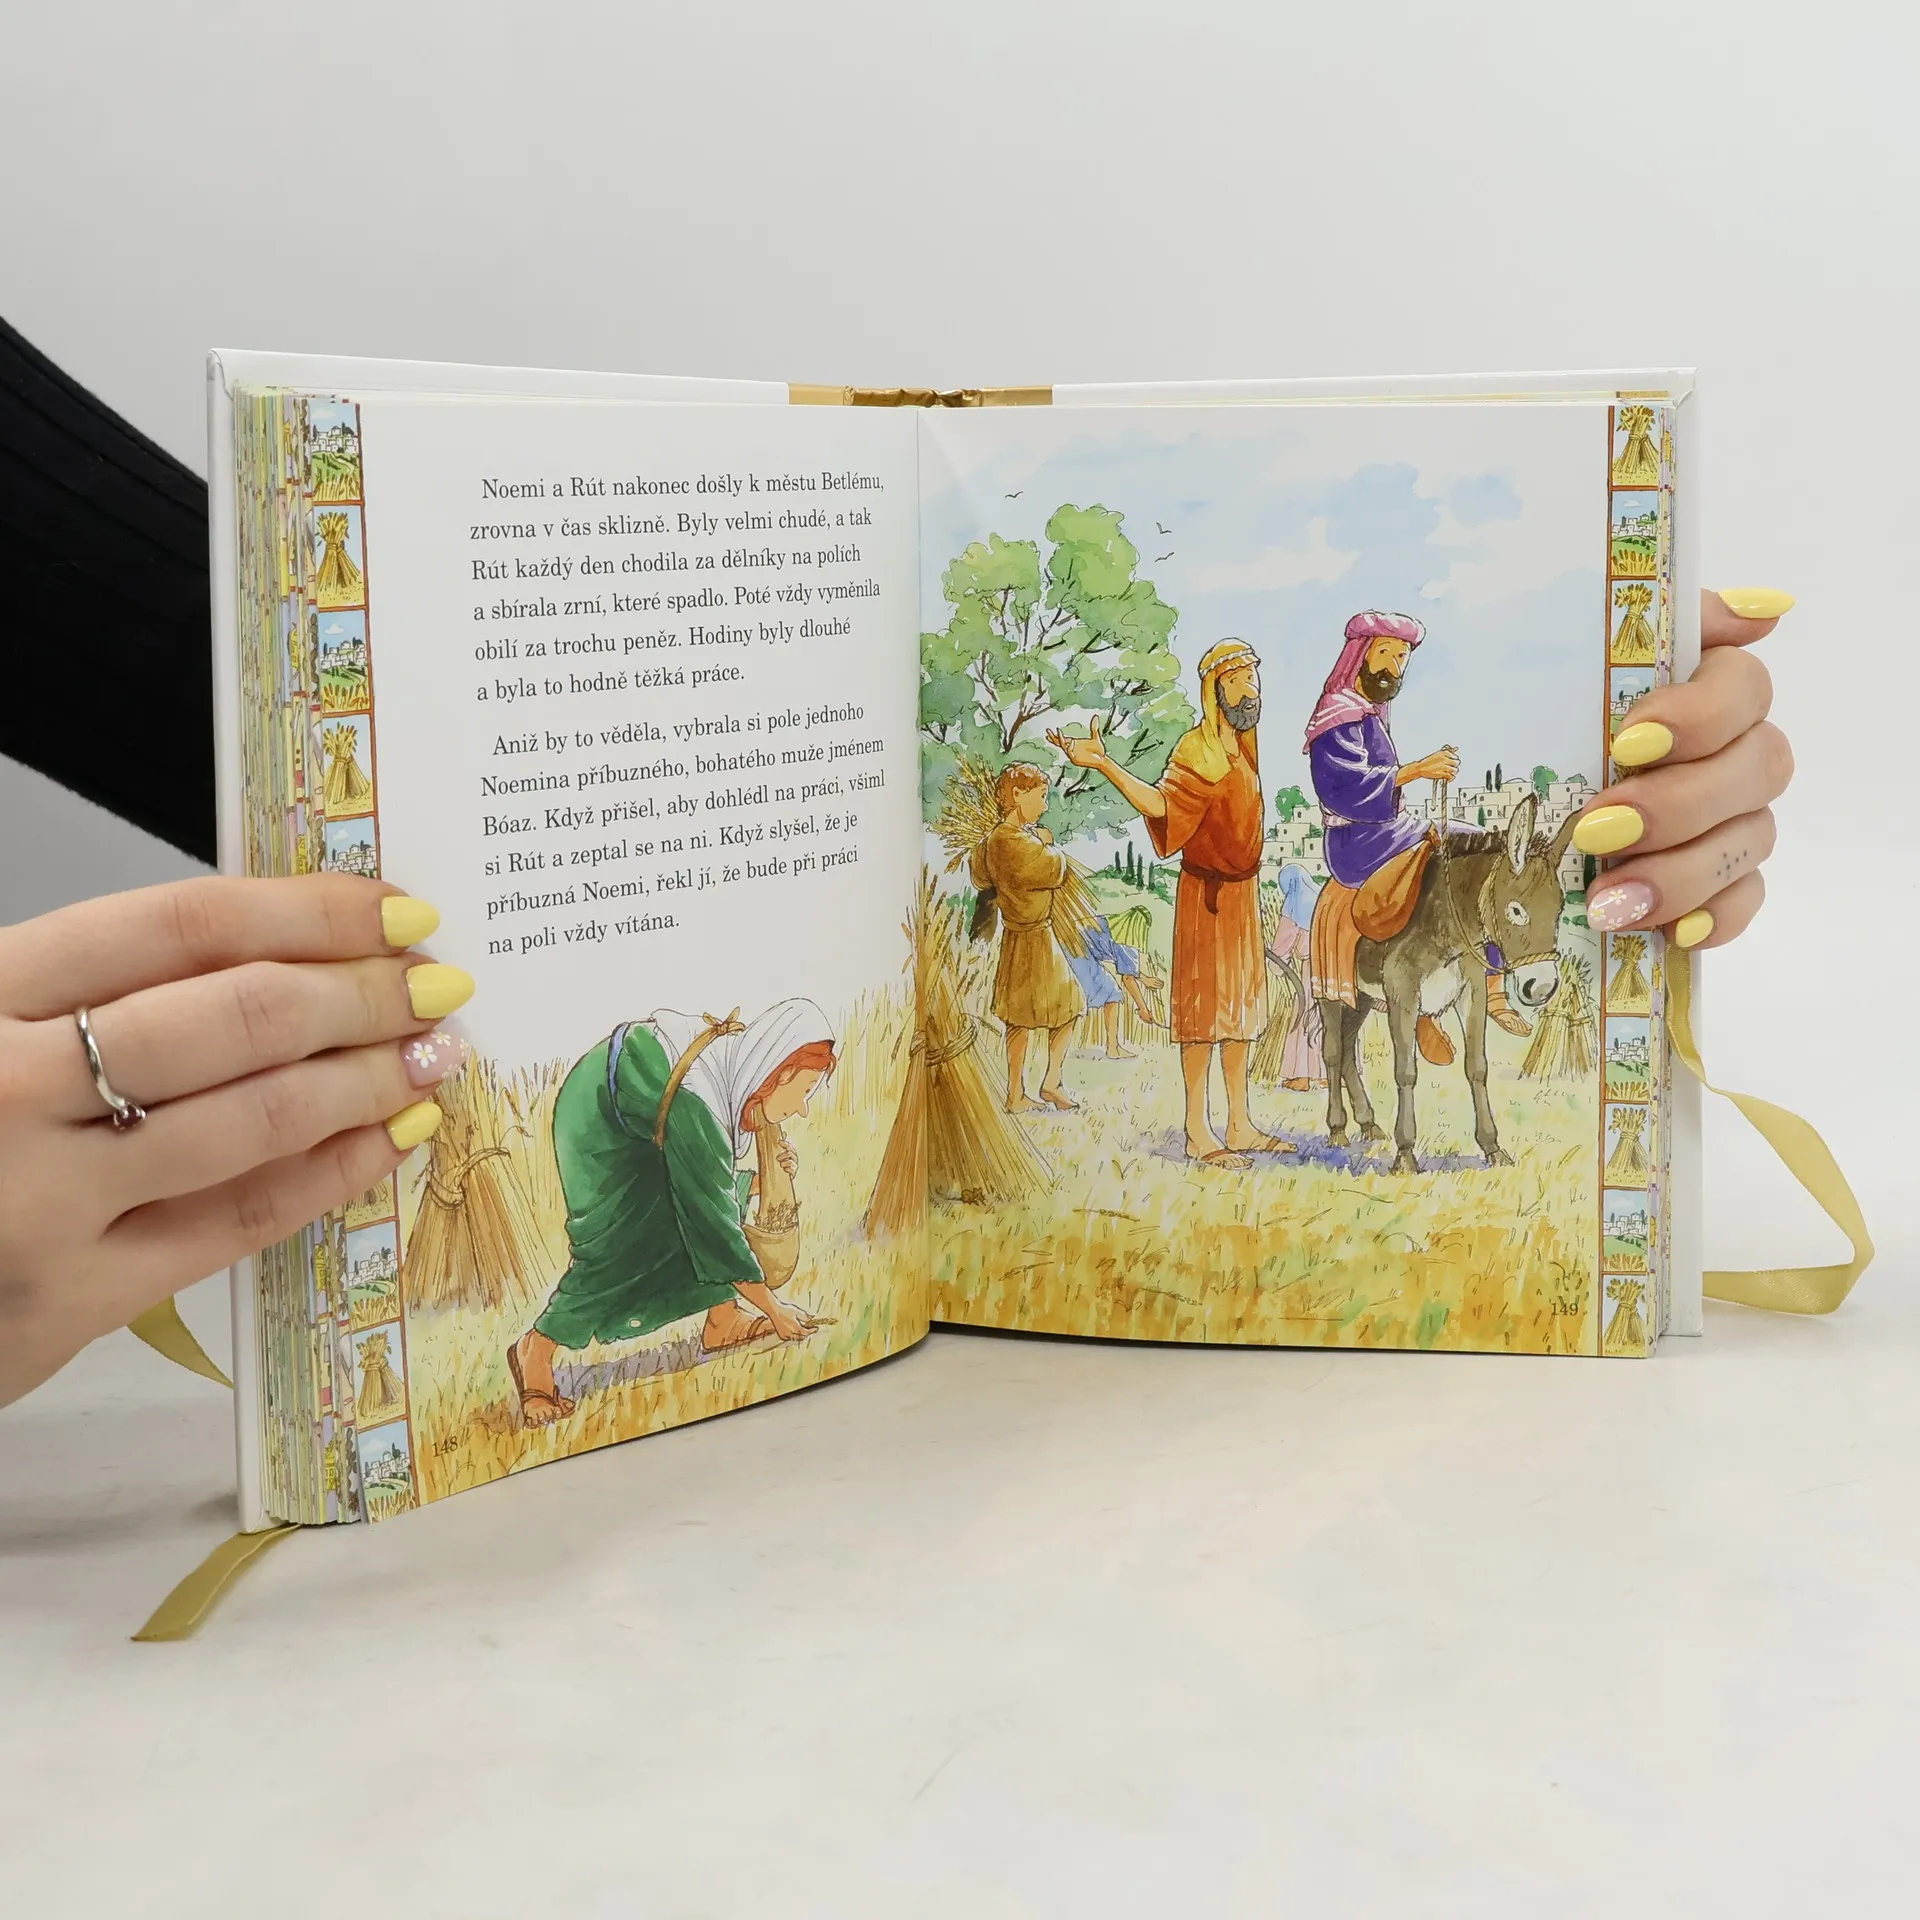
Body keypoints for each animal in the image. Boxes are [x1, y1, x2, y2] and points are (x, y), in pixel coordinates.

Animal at [1315, 794, 1578, 1173]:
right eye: (1516, 910)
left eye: (1559, 909)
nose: (1542, 987)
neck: (1447, 927)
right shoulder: (1403, 995)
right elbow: (1405, 1071)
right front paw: (1405, 1154)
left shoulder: (1472, 992)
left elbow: (1477, 1067)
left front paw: (1492, 1147)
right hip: (1330, 992)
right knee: (1334, 1051)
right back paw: (1337, 1129)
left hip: (1361, 997)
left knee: (1350, 1048)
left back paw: (1368, 1123)